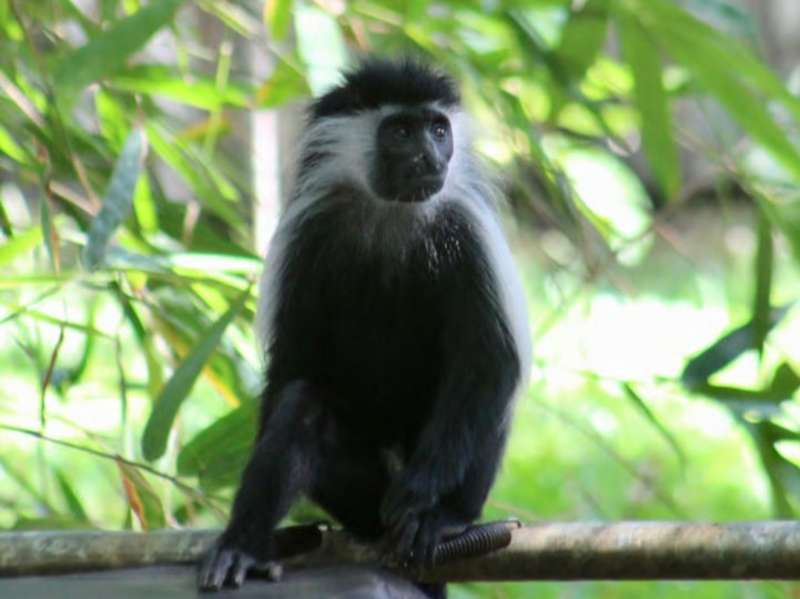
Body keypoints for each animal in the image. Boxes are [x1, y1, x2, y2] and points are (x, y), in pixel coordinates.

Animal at [199, 58, 531, 597]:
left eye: (438, 129)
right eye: (400, 132)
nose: (430, 156)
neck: (390, 210)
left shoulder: (464, 232)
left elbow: (488, 359)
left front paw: (419, 496)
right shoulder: (308, 236)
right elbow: (293, 364)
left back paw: (443, 520)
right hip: (359, 488)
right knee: (303, 407)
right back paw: (243, 546)